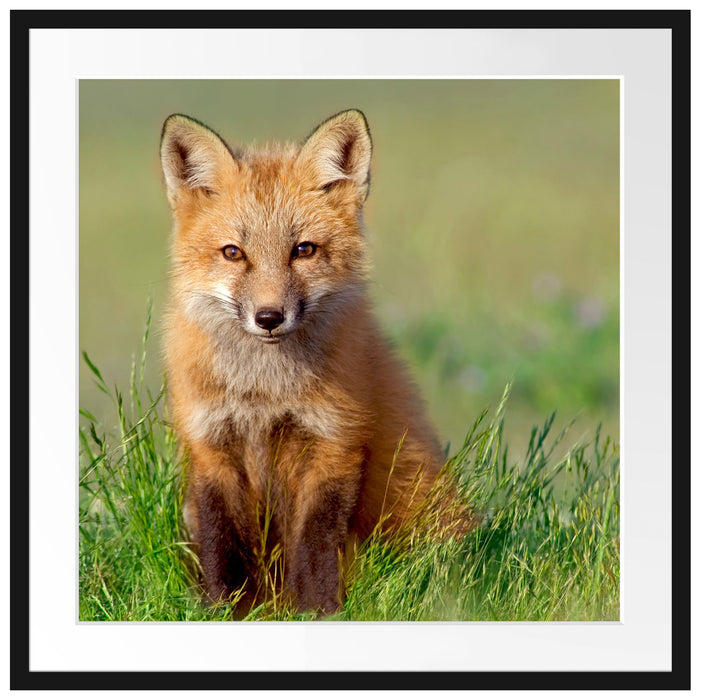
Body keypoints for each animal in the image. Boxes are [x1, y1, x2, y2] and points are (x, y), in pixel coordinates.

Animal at [160, 109, 475, 615]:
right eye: (233, 253)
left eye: (303, 250)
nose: (269, 317)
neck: (265, 393)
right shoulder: (210, 445)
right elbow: (221, 544)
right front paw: (224, 611)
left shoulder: (334, 441)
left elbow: (315, 544)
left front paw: (315, 612)